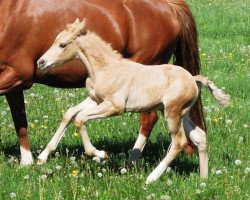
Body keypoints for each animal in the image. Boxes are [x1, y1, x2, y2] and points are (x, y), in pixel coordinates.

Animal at [37, 19, 230, 184]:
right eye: (55, 40)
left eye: (62, 45)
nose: (41, 62)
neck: (106, 68)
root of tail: (193, 79)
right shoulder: (96, 100)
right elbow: (70, 114)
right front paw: (43, 156)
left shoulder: (114, 107)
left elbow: (80, 118)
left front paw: (100, 154)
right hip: (181, 113)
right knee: (200, 137)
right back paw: (203, 179)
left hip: (173, 113)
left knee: (179, 142)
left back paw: (151, 178)